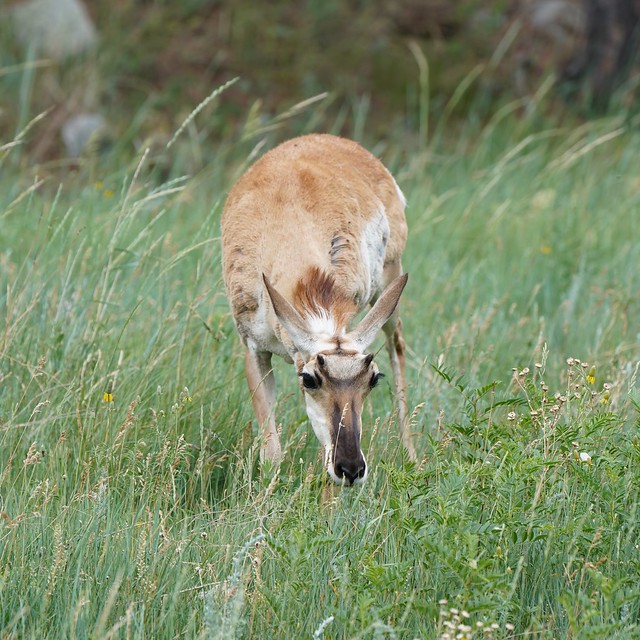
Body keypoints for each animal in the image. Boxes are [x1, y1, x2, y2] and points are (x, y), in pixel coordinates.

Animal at [221, 133, 415, 485]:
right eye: (309, 379)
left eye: (373, 378)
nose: (351, 468)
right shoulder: (254, 349)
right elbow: (271, 451)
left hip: (389, 285)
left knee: (398, 347)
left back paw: (412, 458)